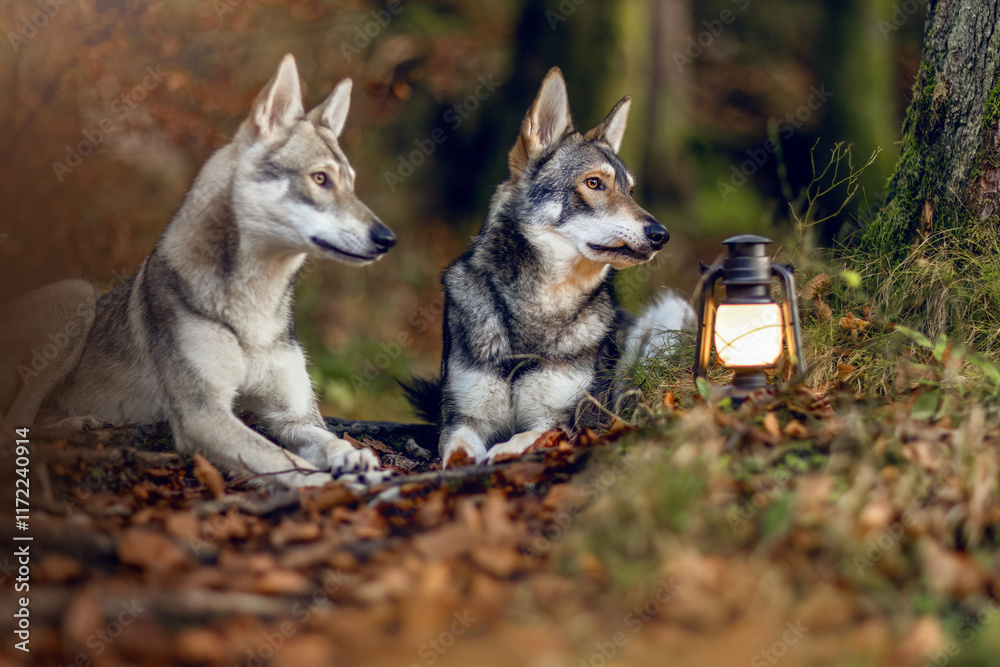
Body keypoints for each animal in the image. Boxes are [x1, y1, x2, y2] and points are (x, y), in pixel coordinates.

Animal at [0, 54, 394, 488]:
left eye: (352, 185)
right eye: (320, 179)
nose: (387, 238)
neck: (253, 305)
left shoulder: (293, 417)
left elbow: (331, 441)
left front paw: (357, 460)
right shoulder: (203, 415)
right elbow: (285, 463)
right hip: (77, 293)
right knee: (13, 424)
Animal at [404, 67, 695, 467]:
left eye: (630, 192)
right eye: (594, 183)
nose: (660, 235)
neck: (539, 307)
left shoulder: (561, 421)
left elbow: (522, 439)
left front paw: (501, 455)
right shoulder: (464, 420)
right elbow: (458, 452)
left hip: (671, 313)